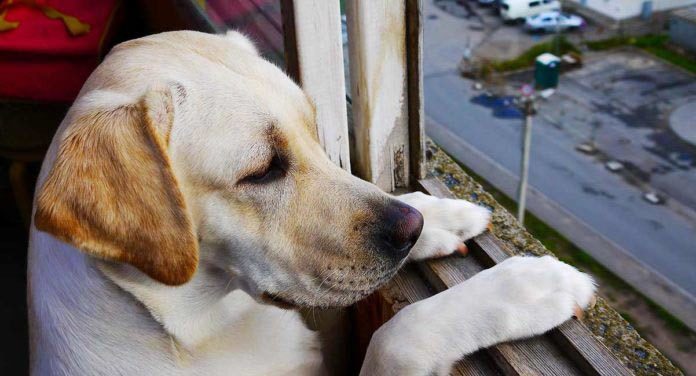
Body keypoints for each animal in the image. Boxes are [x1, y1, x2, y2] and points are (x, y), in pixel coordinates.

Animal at [25, 30, 592, 374]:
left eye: (312, 131)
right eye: (262, 171)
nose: (409, 229)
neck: (191, 330)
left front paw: (439, 214)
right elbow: (396, 335)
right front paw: (525, 287)